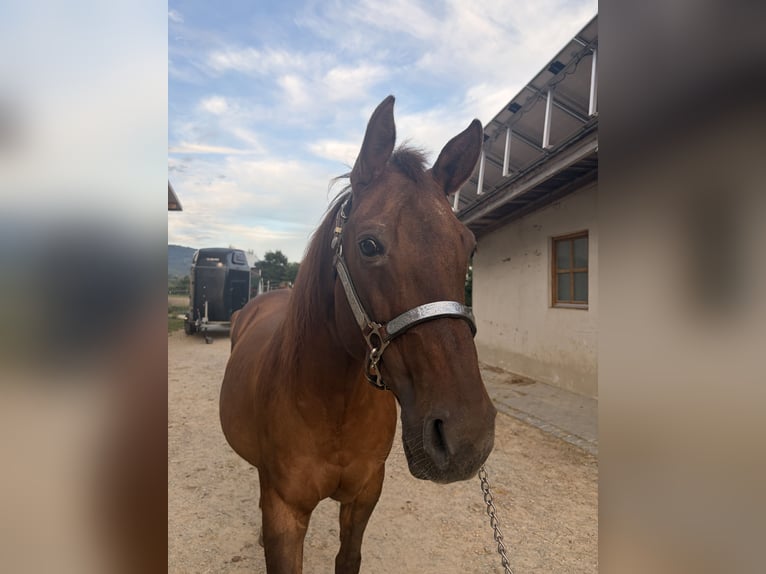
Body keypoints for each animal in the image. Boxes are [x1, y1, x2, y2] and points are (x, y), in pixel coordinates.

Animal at [220, 95, 497, 573]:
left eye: (469, 245)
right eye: (368, 245)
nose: (467, 438)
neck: (335, 407)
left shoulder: (364, 496)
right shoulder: (285, 513)